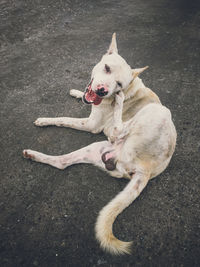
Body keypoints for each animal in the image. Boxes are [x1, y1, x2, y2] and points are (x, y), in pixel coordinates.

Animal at [23, 33, 177, 255]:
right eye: (106, 68)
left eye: (119, 83)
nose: (103, 91)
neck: (129, 87)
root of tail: (148, 170)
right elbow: (81, 96)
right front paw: (76, 92)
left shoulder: (91, 125)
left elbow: (63, 118)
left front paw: (44, 120)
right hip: (96, 149)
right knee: (62, 162)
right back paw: (32, 154)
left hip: (158, 111)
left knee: (117, 129)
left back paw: (119, 105)